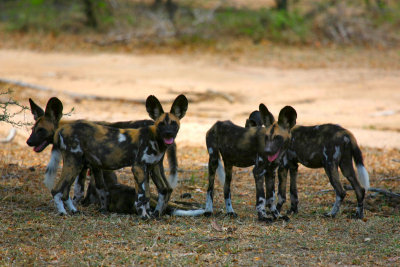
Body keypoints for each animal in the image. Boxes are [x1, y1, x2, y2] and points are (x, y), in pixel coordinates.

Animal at [28, 95, 188, 219]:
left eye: (173, 124)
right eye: (34, 129)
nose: (28, 142)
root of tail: (62, 129)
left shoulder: (146, 168)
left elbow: (147, 194)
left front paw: (149, 215)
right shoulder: (137, 168)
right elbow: (142, 196)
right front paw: (144, 216)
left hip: (75, 165)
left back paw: (71, 211)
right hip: (73, 164)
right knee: (58, 190)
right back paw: (64, 213)